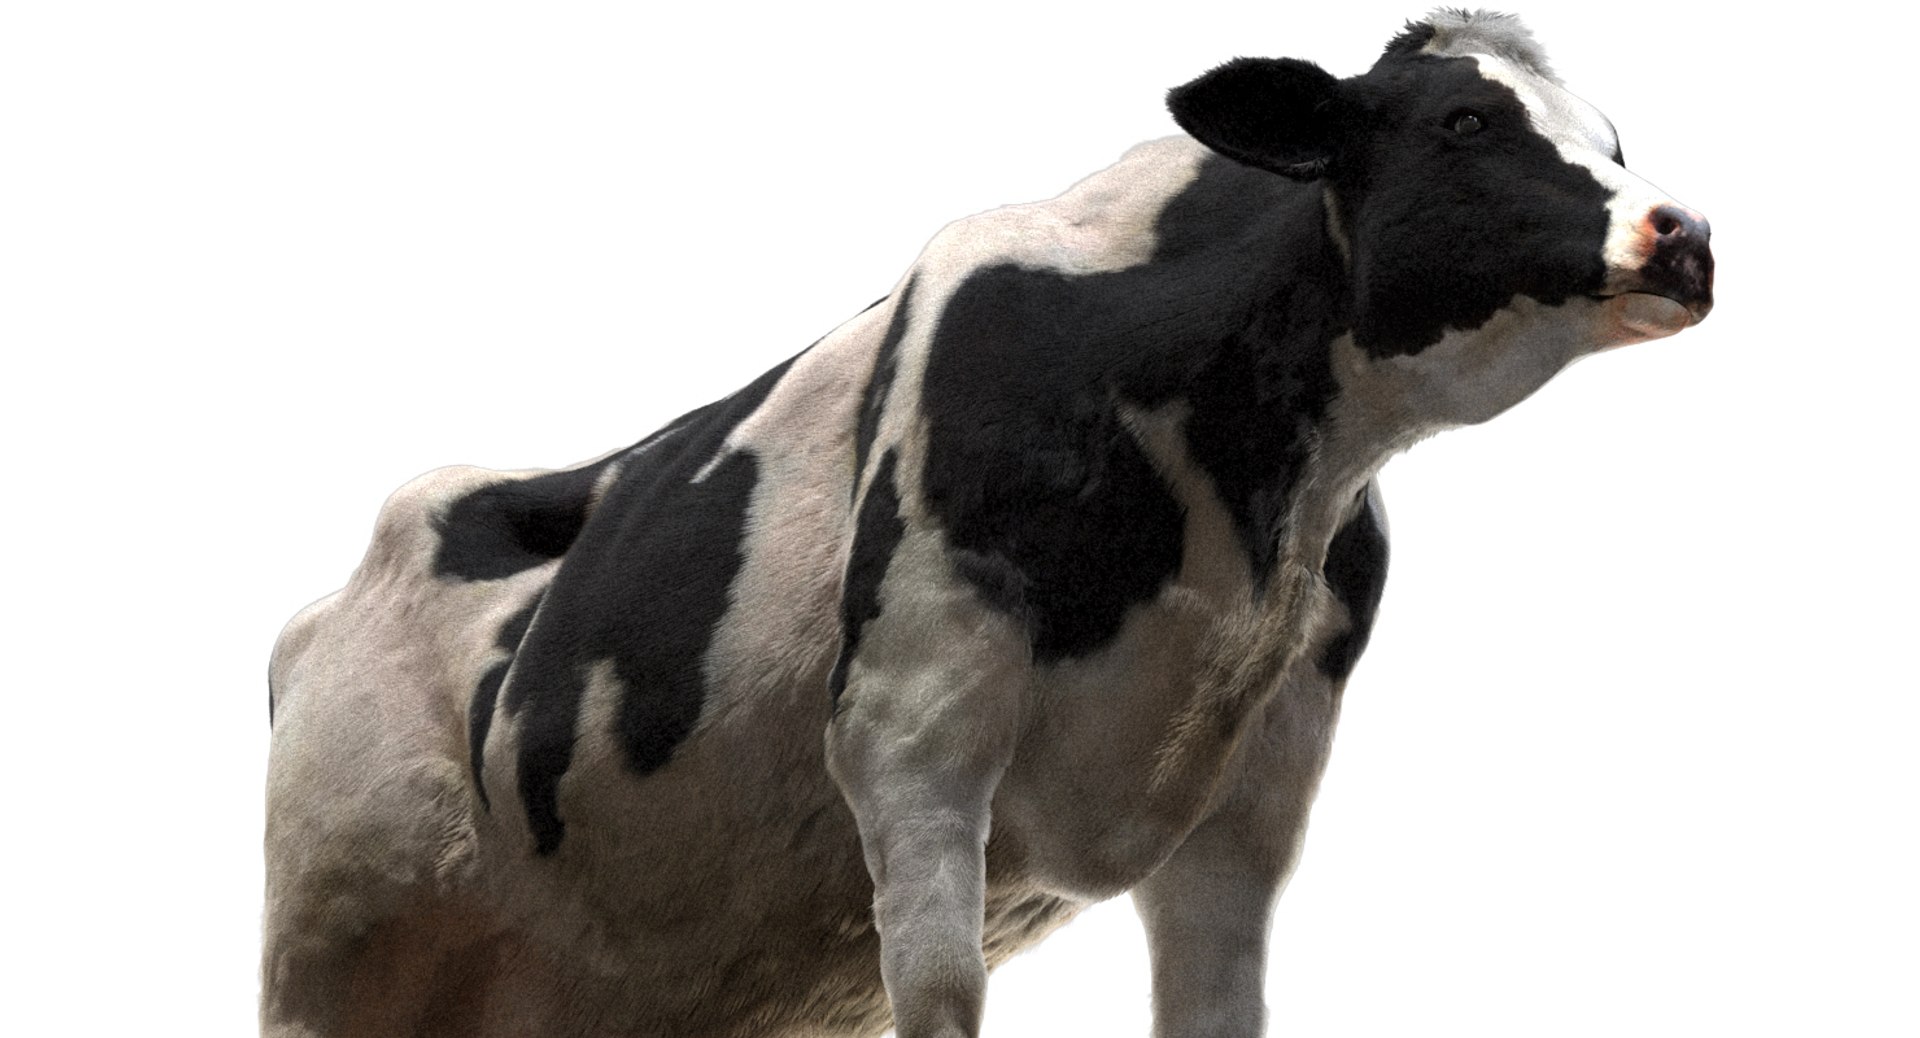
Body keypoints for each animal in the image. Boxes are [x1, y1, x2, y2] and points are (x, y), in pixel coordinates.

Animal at [262, 10, 1714, 1037]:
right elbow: (944, 991)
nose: (1684, 231)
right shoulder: (912, 727)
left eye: (1611, 136)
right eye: (1465, 120)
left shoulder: (1256, 785)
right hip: (326, 943)